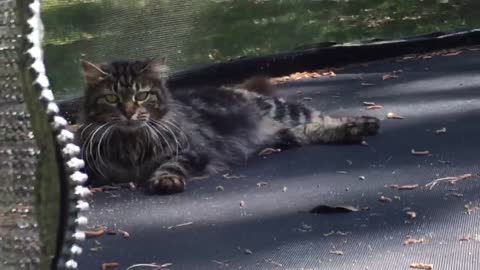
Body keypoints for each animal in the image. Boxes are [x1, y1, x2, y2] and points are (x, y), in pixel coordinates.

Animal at [78, 57, 378, 194]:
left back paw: (363, 125)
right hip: (286, 132)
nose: (129, 113)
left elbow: (171, 164)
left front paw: (165, 179)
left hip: (285, 111)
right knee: (306, 133)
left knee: (321, 119)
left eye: (142, 96)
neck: (132, 144)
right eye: (112, 98)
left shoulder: (193, 150)